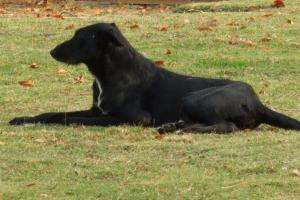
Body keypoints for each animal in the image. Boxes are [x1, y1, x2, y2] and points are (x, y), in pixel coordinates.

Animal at [9, 22, 300, 134]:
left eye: (80, 37)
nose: (51, 51)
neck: (109, 72)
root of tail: (257, 101)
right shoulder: (96, 109)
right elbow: (54, 113)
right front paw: (24, 119)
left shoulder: (135, 118)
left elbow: (73, 119)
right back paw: (175, 126)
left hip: (194, 98)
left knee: (225, 126)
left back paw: (181, 129)